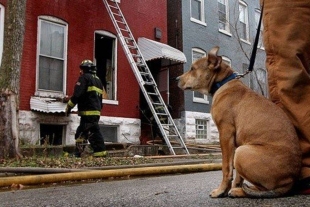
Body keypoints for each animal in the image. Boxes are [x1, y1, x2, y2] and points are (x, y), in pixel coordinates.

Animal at [178, 46, 302, 198]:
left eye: (192, 68)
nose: (176, 79)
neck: (223, 82)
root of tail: (290, 181)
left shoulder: (225, 134)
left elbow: (226, 168)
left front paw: (221, 191)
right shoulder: (234, 143)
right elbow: (237, 174)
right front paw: (230, 187)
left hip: (243, 152)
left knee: (261, 188)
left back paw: (239, 191)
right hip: (241, 151)